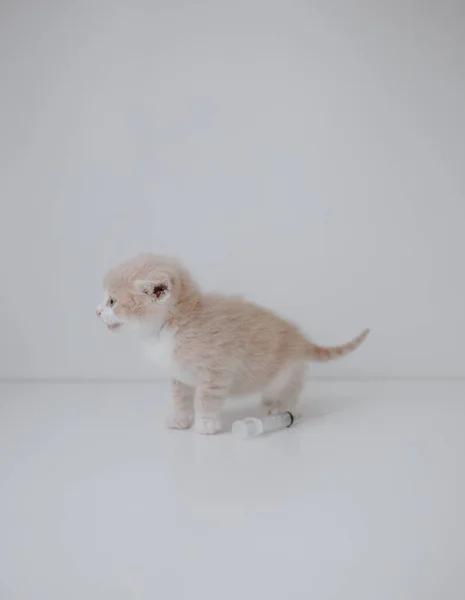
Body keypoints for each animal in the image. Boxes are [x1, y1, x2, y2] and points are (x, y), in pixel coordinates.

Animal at [96, 254, 368, 436]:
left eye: (112, 301)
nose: (96, 311)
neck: (170, 326)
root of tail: (299, 337)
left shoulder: (216, 372)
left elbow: (205, 400)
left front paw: (205, 425)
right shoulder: (180, 375)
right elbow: (180, 398)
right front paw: (180, 421)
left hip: (287, 372)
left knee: (292, 390)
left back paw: (281, 408)